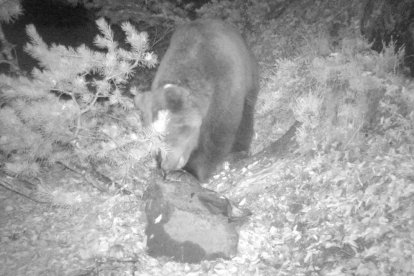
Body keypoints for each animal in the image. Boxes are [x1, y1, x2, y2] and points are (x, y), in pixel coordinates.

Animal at [136, 18, 258, 181]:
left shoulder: (223, 90)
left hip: (247, 69)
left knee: (247, 109)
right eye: (155, 137)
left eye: (172, 132)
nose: (167, 165)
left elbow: (217, 133)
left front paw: (194, 169)